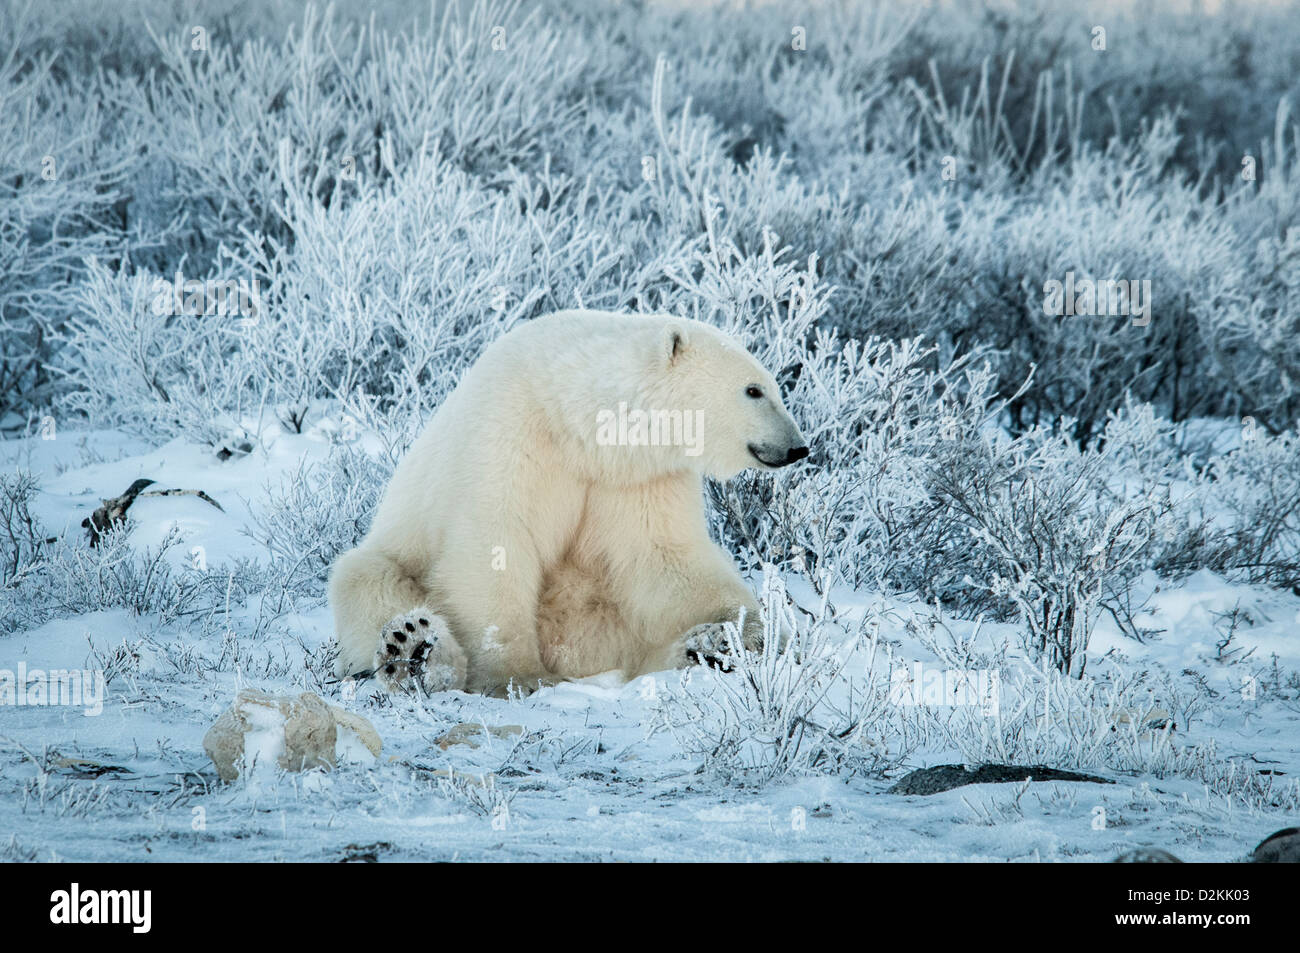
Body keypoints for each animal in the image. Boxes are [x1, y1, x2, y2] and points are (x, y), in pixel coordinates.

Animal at [327, 308, 800, 696]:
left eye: (772, 387)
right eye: (754, 390)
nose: (799, 447)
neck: (574, 422)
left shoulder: (637, 477)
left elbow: (662, 558)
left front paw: (750, 631)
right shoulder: (510, 435)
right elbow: (495, 546)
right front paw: (516, 676)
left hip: (597, 616)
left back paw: (702, 648)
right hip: (391, 558)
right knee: (368, 582)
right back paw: (414, 650)